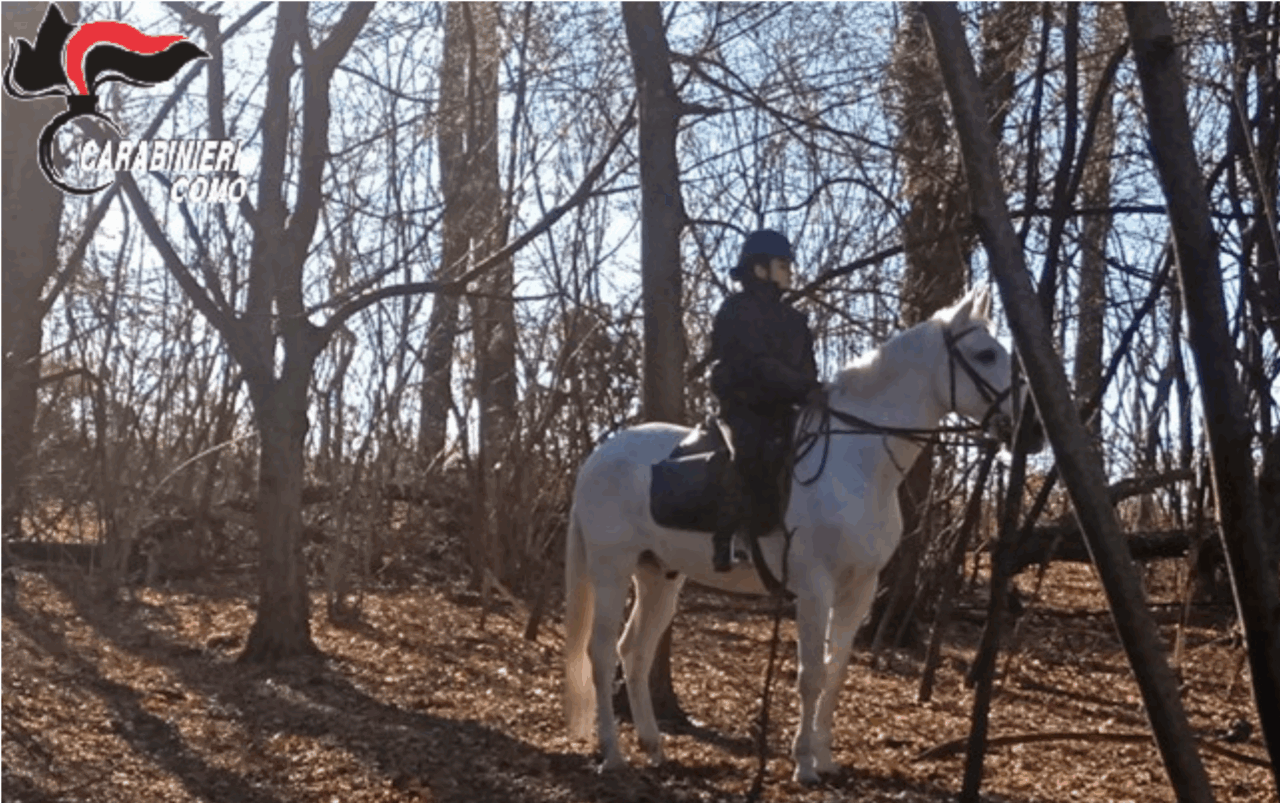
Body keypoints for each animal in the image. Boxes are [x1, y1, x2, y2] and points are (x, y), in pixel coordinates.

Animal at [563, 286, 1032, 784]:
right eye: (986, 354)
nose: (1032, 429)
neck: (858, 462)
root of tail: (597, 459)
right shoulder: (814, 588)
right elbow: (811, 675)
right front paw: (804, 764)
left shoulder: (859, 589)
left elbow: (836, 672)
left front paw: (824, 757)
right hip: (611, 570)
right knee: (600, 652)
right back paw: (612, 754)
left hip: (658, 577)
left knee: (634, 652)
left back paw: (653, 746)